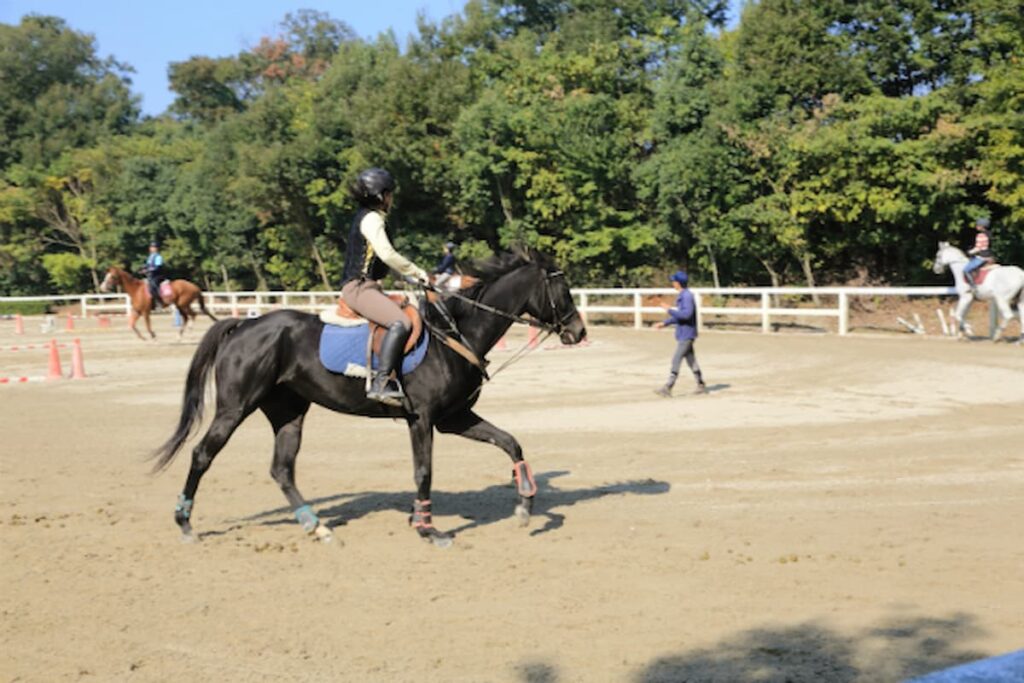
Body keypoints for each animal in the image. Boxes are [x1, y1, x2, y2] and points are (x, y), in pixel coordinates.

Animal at [150, 250, 585, 544]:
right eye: (562, 289)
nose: (579, 332)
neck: (455, 333)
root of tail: (245, 324)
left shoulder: (453, 418)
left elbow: (511, 443)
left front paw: (525, 505)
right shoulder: (423, 419)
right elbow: (424, 471)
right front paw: (427, 528)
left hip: (288, 411)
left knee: (282, 469)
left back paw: (317, 526)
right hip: (236, 407)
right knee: (203, 454)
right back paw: (185, 523)